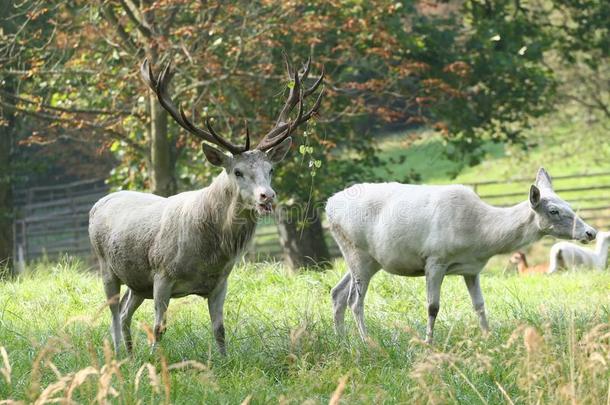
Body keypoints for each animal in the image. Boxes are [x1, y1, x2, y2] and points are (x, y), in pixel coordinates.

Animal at [326, 169, 596, 342]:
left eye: (569, 205)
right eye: (554, 210)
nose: (590, 232)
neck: (479, 237)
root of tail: (328, 206)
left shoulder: (471, 269)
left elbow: (479, 305)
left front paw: (489, 338)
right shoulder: (435, 259)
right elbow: (433, 306)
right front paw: (428, 344)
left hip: (366, 259)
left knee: (337, 293)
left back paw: (342, 340)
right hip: (357, 252)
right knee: (354, 301)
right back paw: (366, 342)